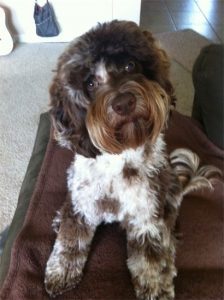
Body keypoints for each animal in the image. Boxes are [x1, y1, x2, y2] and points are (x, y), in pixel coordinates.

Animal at [43, 19, 219, 298]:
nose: (124, 102)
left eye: (129, 65)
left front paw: (156, 287)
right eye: (90, 83)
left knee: (169, 231)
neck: (120, 155)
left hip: (167, 191)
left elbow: (150, 260)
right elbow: (70, 241)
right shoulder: (83, 205)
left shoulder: (147, 217)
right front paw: (61, 271)